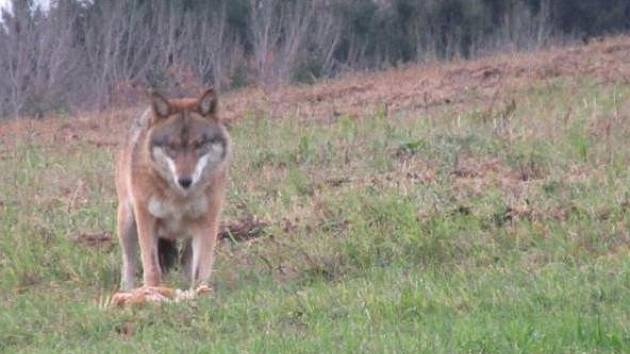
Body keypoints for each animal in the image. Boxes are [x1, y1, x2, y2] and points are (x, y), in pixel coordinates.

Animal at [115, 88, 231, 290]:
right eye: (171, 147)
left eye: (199, 145)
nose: (185, 180)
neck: (180, 196)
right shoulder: (146, 219)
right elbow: (152, 268)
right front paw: (152, 291)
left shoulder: (208, 221)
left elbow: (202, 268)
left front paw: (200, 292)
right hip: (127, 222)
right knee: (129, 264)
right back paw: (127, 291)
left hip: (190, 235)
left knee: (186, 263)